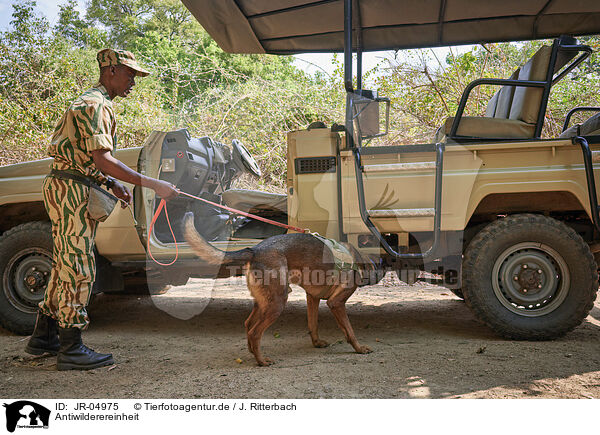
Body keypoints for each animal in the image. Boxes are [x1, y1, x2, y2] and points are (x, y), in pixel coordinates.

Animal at [183, 213, 376, 366]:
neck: (356, 259)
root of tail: (255, 249)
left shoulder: (312, 298)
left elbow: (313, 324)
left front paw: (317, 343)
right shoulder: (336, 303)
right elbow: (349, 330)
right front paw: (359, 348)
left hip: (263, 303)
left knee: (248, 324)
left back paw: (253, 352)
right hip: (277, 303)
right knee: (255, 332)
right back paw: (261, 361)